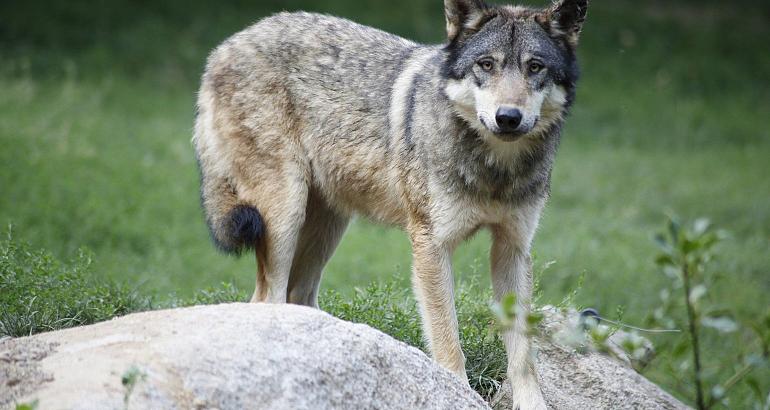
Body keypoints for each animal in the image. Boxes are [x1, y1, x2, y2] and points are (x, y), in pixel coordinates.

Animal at [193, 0, 587, 407]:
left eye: (535, 67)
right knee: (265, 298)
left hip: (327, 228)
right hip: (284, 214)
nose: (508, 117)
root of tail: (225, 46)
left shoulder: (513, 248)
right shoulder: (432, 246)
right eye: (487, 64)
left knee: (297, 295)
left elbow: (523, 354)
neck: (495, 171)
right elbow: (447, 341)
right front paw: (457, 394)